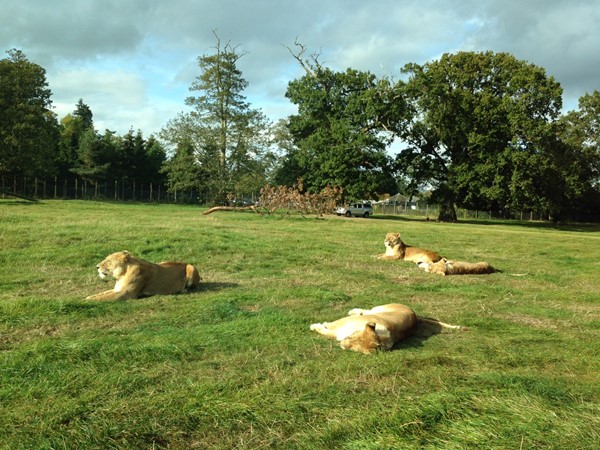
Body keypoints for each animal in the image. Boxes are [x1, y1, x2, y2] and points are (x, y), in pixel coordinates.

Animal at [310, 304, 464, 354]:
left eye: (354, 348)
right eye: (353, 336)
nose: (342, 344)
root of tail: (415, 315)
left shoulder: (340, 332)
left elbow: (328, 331)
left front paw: (316, 326)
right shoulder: (344, 324)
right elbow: (332, 325)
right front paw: (318, 325)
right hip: (378, 309)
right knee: (366, 310)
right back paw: (353, 310)